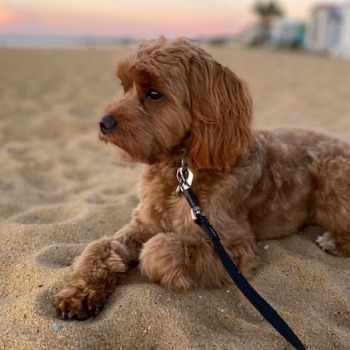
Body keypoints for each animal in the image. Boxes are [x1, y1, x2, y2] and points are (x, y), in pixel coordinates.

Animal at [54, 37, 350, 318]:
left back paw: (334, 241)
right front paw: (80, 292)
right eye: (124, 87)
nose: (103, 123)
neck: (179, 172)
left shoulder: (232, 246)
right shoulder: (143, 223)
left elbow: (158, 249)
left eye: (154, 94)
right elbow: (101, 245)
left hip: (332, 175)